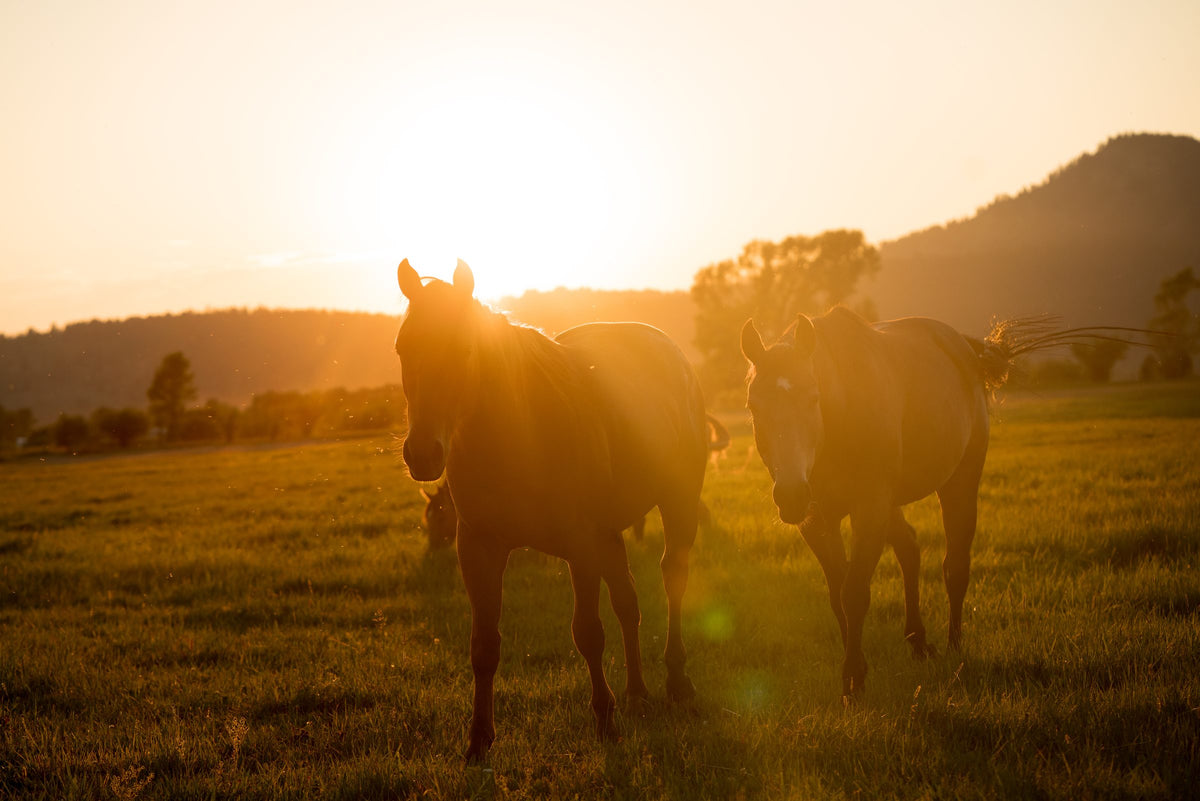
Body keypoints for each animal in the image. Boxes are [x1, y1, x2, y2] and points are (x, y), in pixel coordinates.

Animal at [395, 259, 711, 760]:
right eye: (403, 347)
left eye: (464, 347)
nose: (423, 454)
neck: (520, 432)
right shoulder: (479, 547)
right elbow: (484, 644)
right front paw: (478, 738)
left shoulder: (580, 546)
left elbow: (588, 633)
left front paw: (604, 719)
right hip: (611, 535)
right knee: (629, 604)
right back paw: (637, 693)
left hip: (676, 504)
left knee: (672, 579)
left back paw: (677, 681)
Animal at [740, 307, 1015, 699]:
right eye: (753, 405)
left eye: (812, 398)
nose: (791, 494)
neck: (839, 419)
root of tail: (963, 347)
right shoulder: (817, 520)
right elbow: (837, 594)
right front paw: (856, 664)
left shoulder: (868, 510)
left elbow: (854, 592)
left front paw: (853, 678)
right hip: (891, 503)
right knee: (909, 547)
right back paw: (918, 641)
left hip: (960, 481)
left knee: (955, 567)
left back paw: (954, 648)